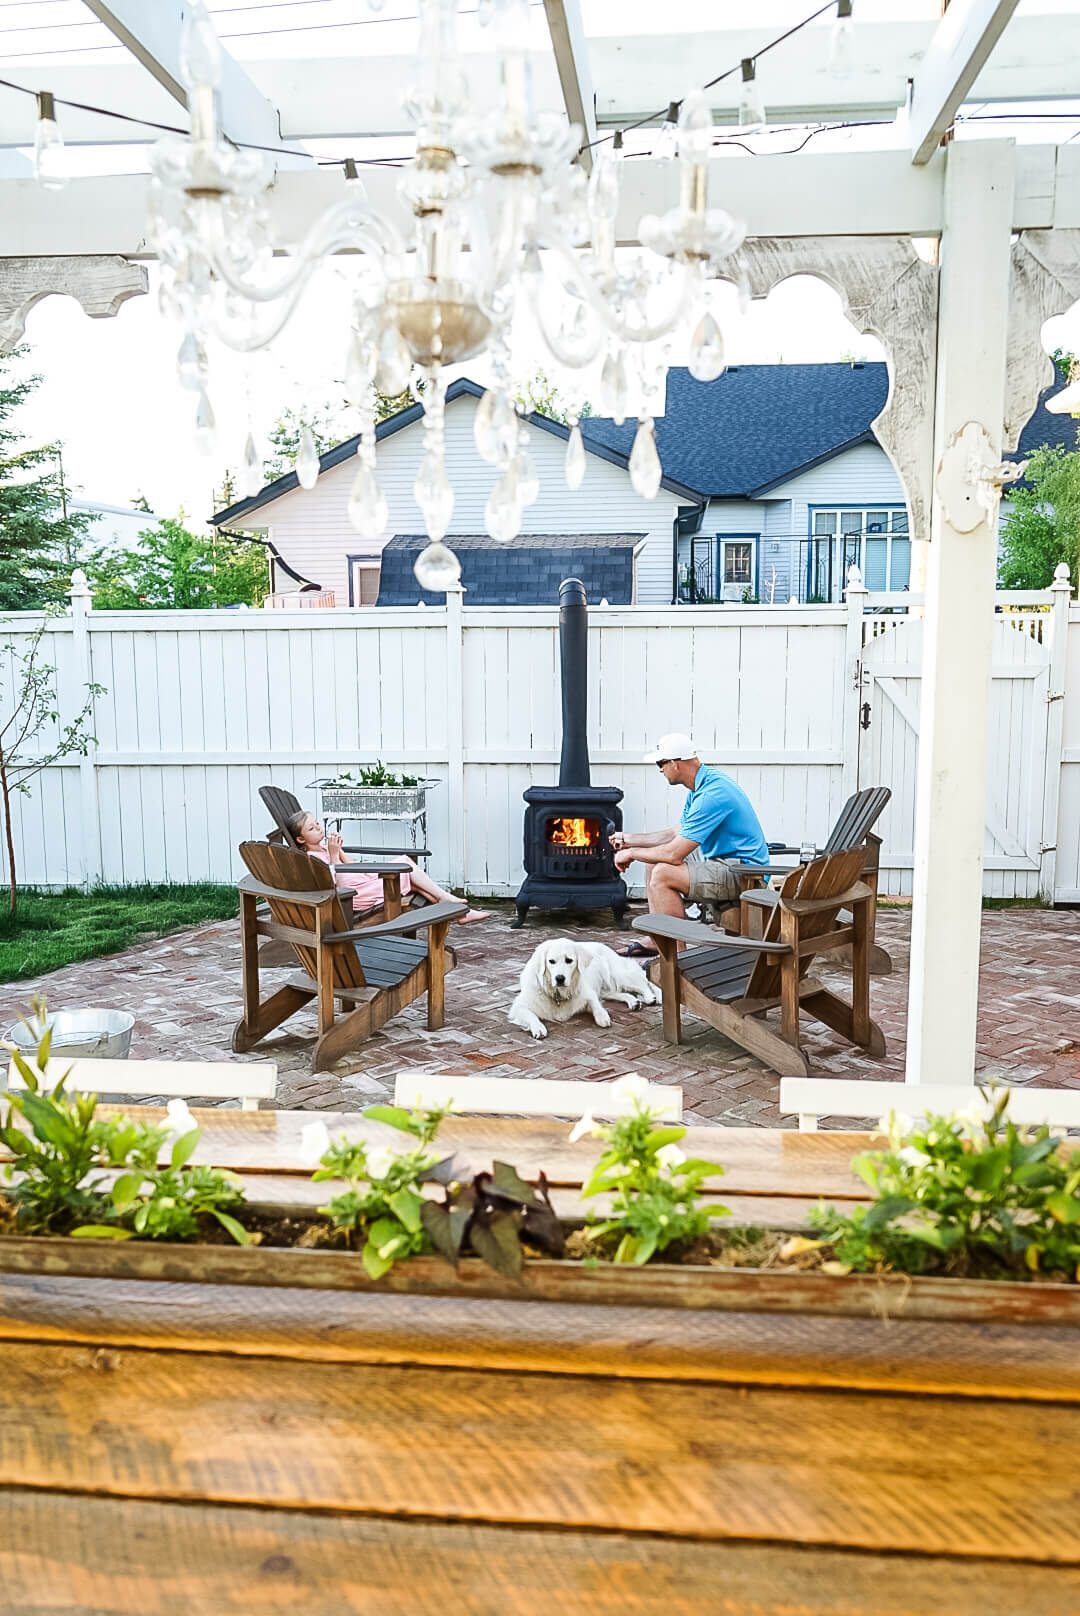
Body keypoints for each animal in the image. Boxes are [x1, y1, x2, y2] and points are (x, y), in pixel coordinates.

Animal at [507, 943, 666, 1040]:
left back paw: (651, 997)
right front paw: (538, 1028)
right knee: (624, 992)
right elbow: (531, 1015)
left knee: (644, 981)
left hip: (618, 975)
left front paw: (602, 1016)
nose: (560, 978)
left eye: (569, 960)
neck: (558, 993)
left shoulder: (588, 993)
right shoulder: (519, 1006)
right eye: (551, 961)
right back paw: (635, 1002)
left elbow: (595, 1003)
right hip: (607, 988)